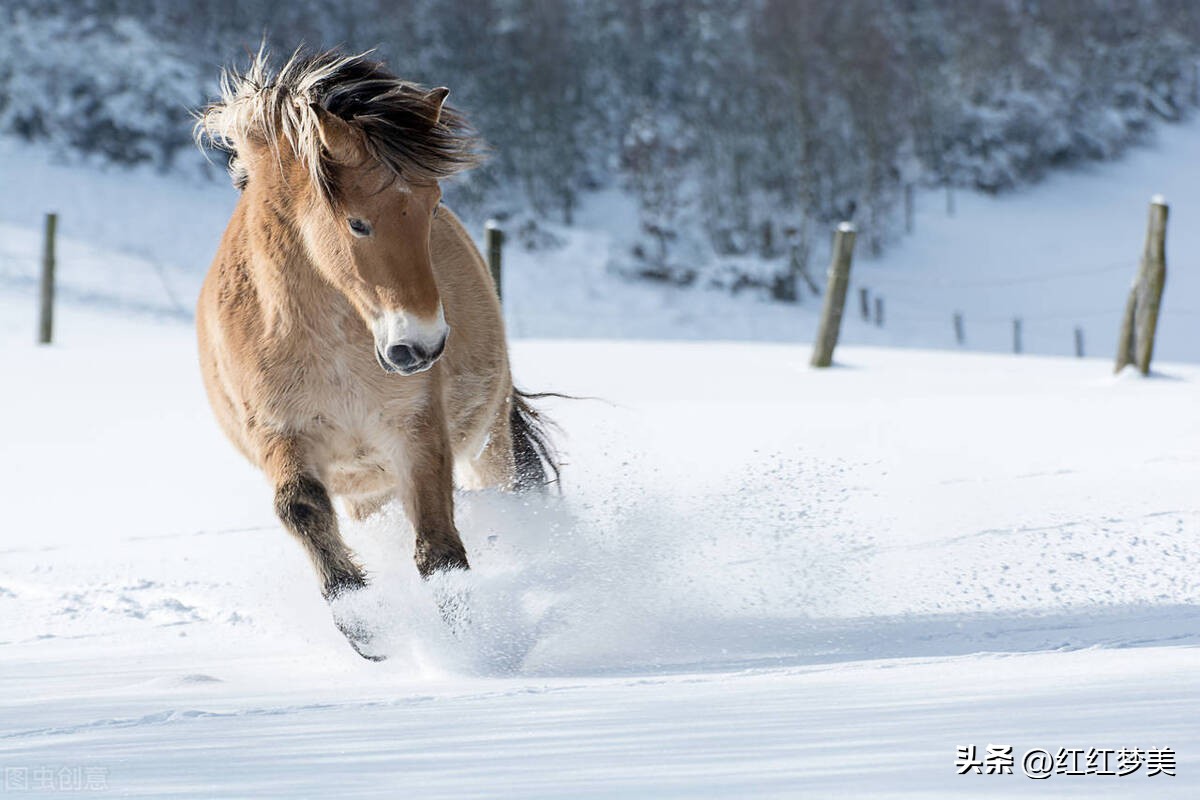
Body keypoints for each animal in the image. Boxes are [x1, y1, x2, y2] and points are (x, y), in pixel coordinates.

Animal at [193, 50, 556, 662]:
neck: (328, 344)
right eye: (357, 222)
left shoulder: (415, 429)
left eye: (434, 208)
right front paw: (368, 629)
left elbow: (438, 548)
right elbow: (300, 508)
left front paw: (467, 643)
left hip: (488, 440)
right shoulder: (281, 433)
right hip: (366, 488)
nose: (422, 345)